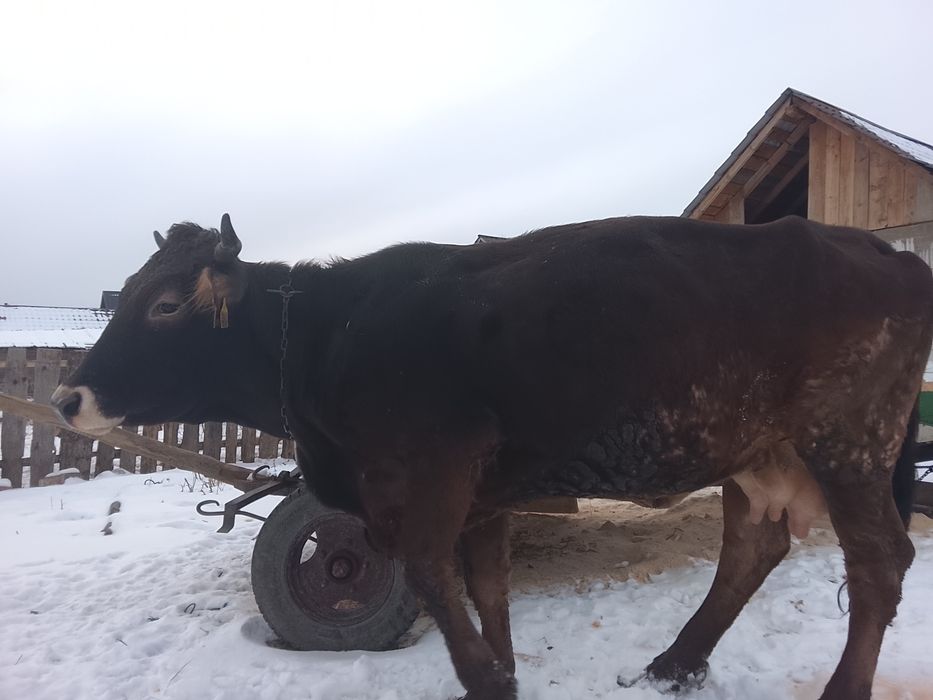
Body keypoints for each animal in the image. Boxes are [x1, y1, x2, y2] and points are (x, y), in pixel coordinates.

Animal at [52, 214, 931, 700]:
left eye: (167, 305)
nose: (67, 398)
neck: (329, 335)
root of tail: (884, 251)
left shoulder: (430, 478)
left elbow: (437, 584)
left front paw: (486, 680)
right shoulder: (481, 494)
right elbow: (487, 589)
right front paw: (504, 673)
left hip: (847, 440)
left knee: (879, 561)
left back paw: (837, 690)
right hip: (756, 451)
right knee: (753, 548)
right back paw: (676, 662)